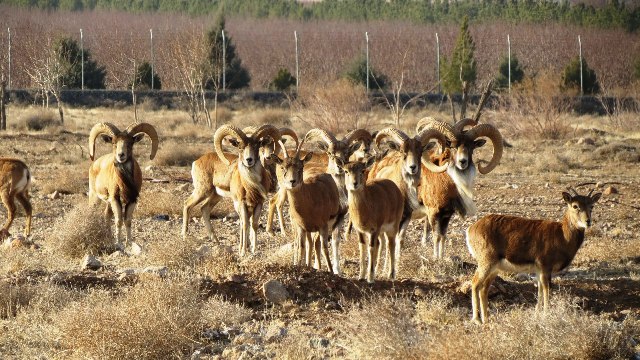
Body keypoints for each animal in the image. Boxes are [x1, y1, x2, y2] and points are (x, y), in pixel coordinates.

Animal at [464, 188, 600, 324]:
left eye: (592, 206)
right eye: (575, 206)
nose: (588, 221)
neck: (562, 235)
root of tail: (471, 229)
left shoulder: (539, 271)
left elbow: (539, 290)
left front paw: (537, 314)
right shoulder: (545, 267)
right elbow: (546, 289)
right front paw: (546, 314)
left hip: (494, 268)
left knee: (484, 289)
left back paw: (486, 319)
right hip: (486, 262)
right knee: (475, 283)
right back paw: (477, 320)